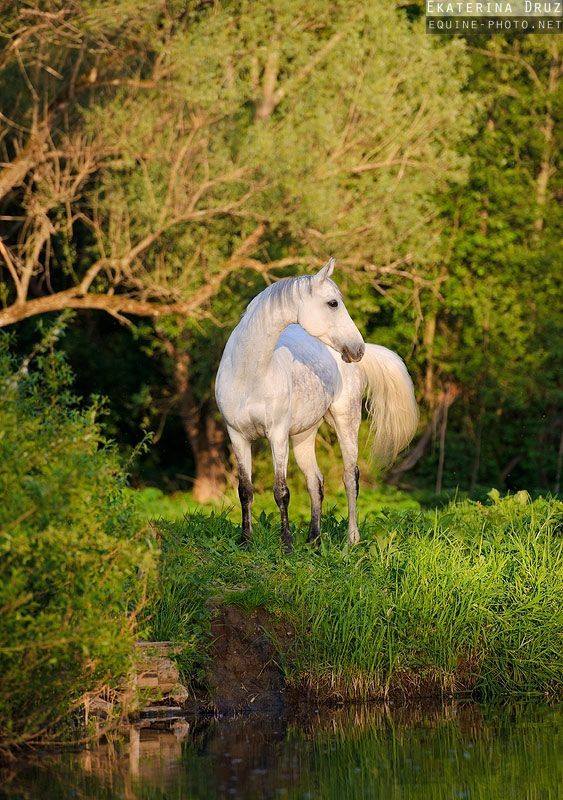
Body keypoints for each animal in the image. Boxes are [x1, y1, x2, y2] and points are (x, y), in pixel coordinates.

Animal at [215, 259, 418, 551]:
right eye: (333, 303)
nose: (357, 349)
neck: (249, 375)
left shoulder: (277, 435)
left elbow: (281, 491)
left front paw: (286, 544)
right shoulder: (238, 435)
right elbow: (245, 490)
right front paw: (245, 541)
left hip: (345, 421)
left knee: (350, 477)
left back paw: (351, 539)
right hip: (303, 435)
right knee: (316, 481)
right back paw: (314, 540)